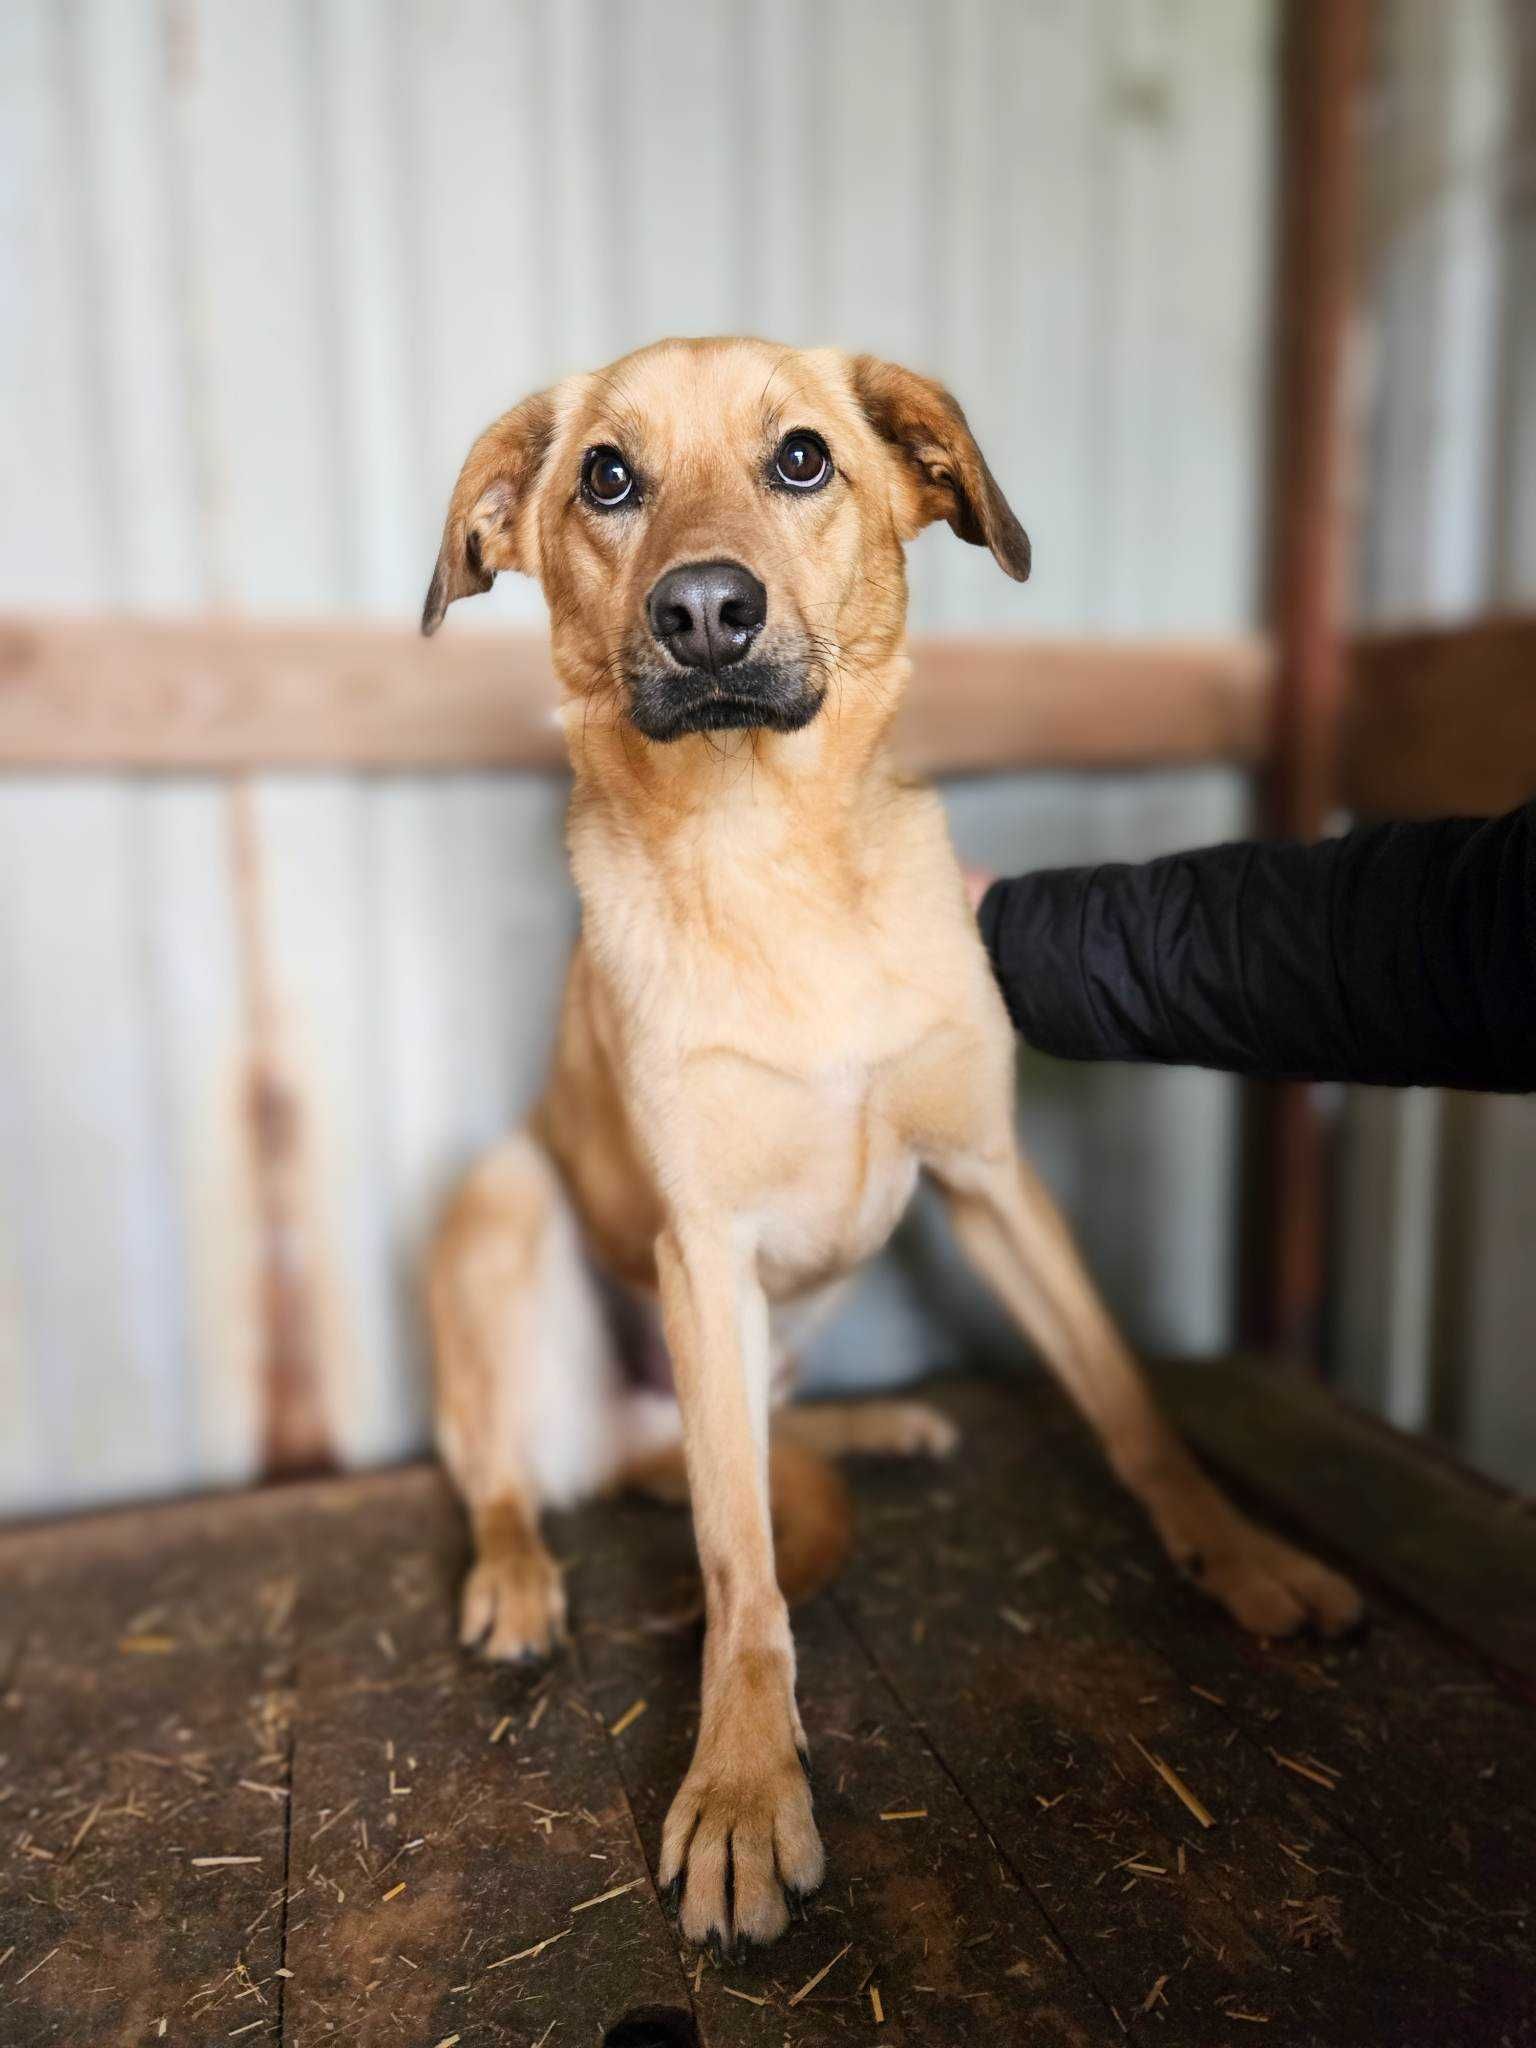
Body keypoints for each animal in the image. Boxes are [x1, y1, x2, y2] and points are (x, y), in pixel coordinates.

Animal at [417, 335, 1359, 1949]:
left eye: (802, 458)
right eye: (607, 476)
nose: (705, 611)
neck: (775, 862)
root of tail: (619, 1433)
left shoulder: (991, 1179)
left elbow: (1127, 1404)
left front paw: (1237, 1553)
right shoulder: (701, 1250)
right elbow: (741, 1568)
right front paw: (744, 1783)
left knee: (759, 1440)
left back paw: (878, 1425)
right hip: (505, 1205)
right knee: (516, 1473)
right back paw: (522, 1579)